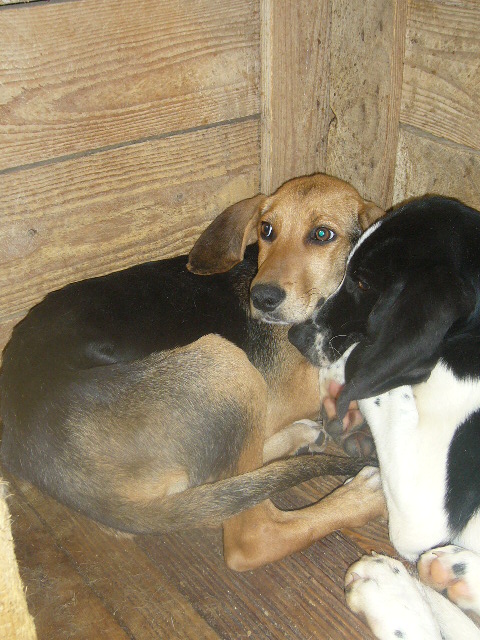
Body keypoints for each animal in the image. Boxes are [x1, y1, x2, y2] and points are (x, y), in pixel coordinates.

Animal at [0, 172, 386, 568]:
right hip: (228, 368)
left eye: (323, 234)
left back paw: (307, 436)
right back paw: (363, 492)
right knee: (252, 532)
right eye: (267, 229)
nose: (261, 298)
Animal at [290, 196, 480, 640]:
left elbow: (375, 376)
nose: (296, 337)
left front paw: (340, 379)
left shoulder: (422, 511)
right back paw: (452, 571)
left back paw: (392, 591)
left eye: (362, 283)